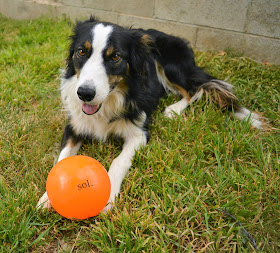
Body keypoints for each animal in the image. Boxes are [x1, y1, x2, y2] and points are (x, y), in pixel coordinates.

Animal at [36, 16, 262, 211]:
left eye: (115, 56)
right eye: (82, 52)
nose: (84, 93)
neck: (110, 102)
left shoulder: (139, 133)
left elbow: (119, 161)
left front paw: (108, 197)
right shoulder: (74, 125)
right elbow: (62, 161)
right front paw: (48, 197)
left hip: (170, 66)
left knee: (194, 90)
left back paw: (173, 109)